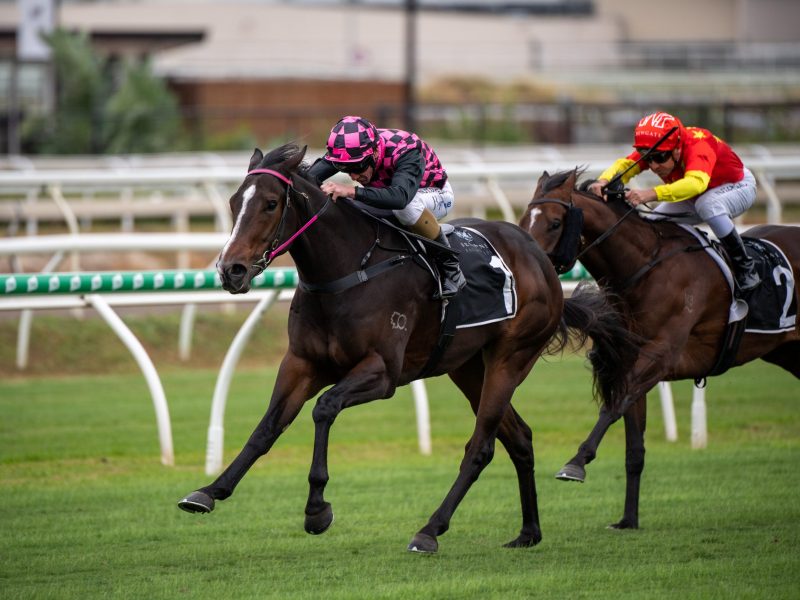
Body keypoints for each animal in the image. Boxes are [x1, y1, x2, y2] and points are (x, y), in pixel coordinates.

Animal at [177, 144, 637, 553]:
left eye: (271, 204)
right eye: (234, 202)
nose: (231, 270)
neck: (348, 271)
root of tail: (538, 256)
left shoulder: (383, 372)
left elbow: (324, 408)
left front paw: (317, 508)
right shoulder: (301, 363)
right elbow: (266, 428)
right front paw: (209, 490)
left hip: (512, 357)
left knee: (481, 447)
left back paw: (430, 530)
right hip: (467, 367)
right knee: (519, 438)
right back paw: (528, 532)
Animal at [519, 168, 800, 529]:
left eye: (554, 223)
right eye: (524, 219)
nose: (531, 264)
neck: (645, 268)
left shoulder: (659, 358)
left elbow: (611, 408)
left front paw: (576, 463)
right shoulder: (630, 362)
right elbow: (633, 447)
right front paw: (627, 519)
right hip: (788, 351)